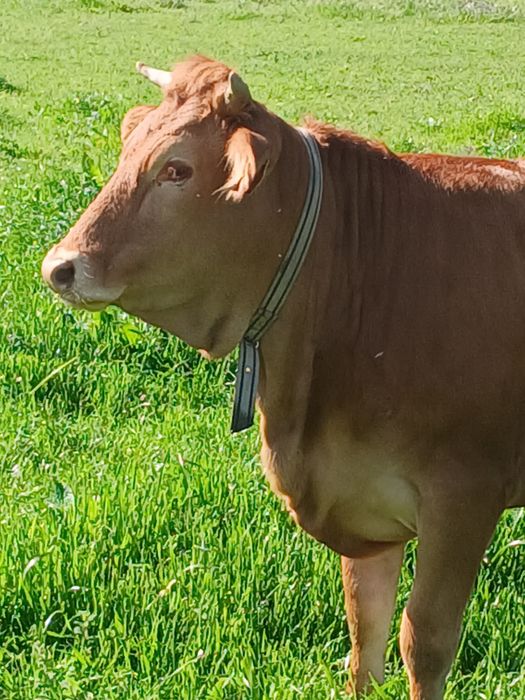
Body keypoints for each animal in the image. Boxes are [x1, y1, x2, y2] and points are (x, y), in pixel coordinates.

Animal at [41, 55, 525, 699]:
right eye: (128, 149)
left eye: (176, 168)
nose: (59, 267)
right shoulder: (361, 496)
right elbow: (364, 637)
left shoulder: (465, 494)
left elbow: (423, 643)